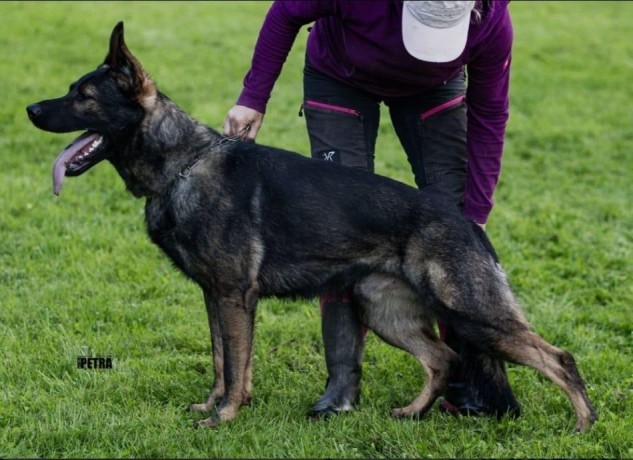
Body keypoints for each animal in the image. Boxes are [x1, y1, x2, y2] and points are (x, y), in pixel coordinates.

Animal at [25, 21, 596, 432]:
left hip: (472, 311)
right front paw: (211, 407)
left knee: (557, 357)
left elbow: (236, 365)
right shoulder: (214, 297)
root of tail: (466, 221)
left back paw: (582, 426)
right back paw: (413, 413)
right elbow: (220, 360)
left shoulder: (234, 297)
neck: (182, 164)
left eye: (83, 97)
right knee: (443, 358)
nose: (29, 109)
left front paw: (225, 417)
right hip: (385, 311)